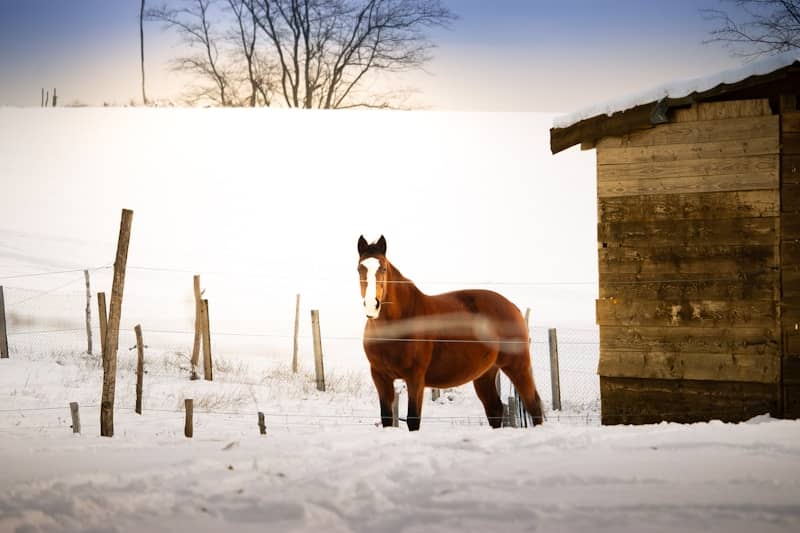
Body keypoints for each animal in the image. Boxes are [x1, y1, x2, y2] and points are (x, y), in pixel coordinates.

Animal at [357, 235, 544, 431]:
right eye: (359, 268)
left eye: (383, 268)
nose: (372, 305)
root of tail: (512, 306)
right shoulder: (380, 377)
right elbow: (386, 418)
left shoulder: (415, 377)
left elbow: (413, 419)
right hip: (485, 373)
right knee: (495, 408)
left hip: (517, 366)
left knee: (533, 404)